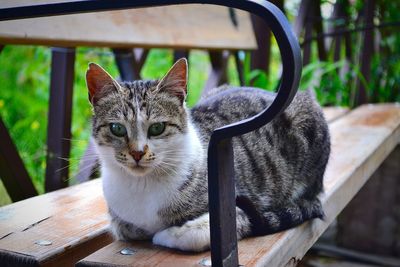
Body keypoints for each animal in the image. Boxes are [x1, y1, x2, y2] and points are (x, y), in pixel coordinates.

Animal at [86, 57, 330, 252]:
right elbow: (125, 228)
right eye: (117, 128)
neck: (142, 186)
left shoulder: (236, 212)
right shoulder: (119, 220)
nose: (137, 153)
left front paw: (165, 235)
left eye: (157, 128)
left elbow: (193, 233)